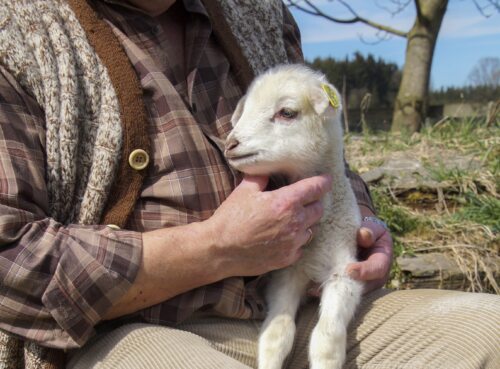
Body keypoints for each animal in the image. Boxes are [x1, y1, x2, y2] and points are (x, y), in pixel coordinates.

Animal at [225, 64, 362, 368]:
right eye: (245, 110)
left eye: (287, 112)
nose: (230, 143)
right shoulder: (286, 272)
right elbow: (277, 333)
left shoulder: (345, 272)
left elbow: (326, 338)